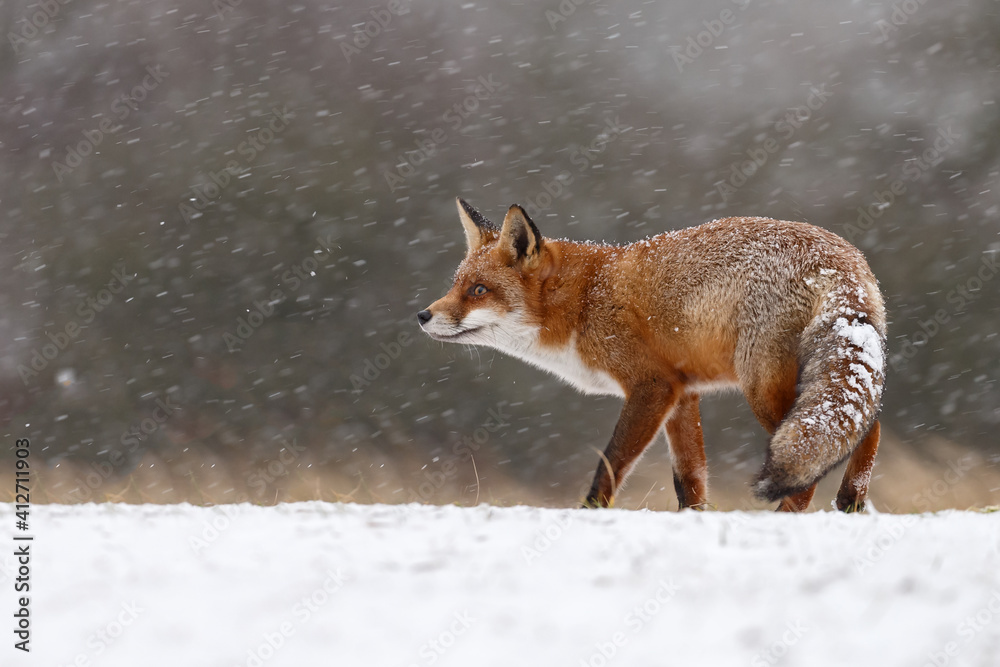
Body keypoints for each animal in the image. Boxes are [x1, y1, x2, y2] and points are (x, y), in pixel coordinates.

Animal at [417, 198, 887, 512]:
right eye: (456, 285)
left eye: (478, 290)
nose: (422, 316)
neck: (585, 301)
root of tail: (843, 259)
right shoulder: (682, 393)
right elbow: (690, 480)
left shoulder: (651, 387)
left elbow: (610, 464)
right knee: (867, 426)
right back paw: (851, 503)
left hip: (763, 389)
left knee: (832, 454)